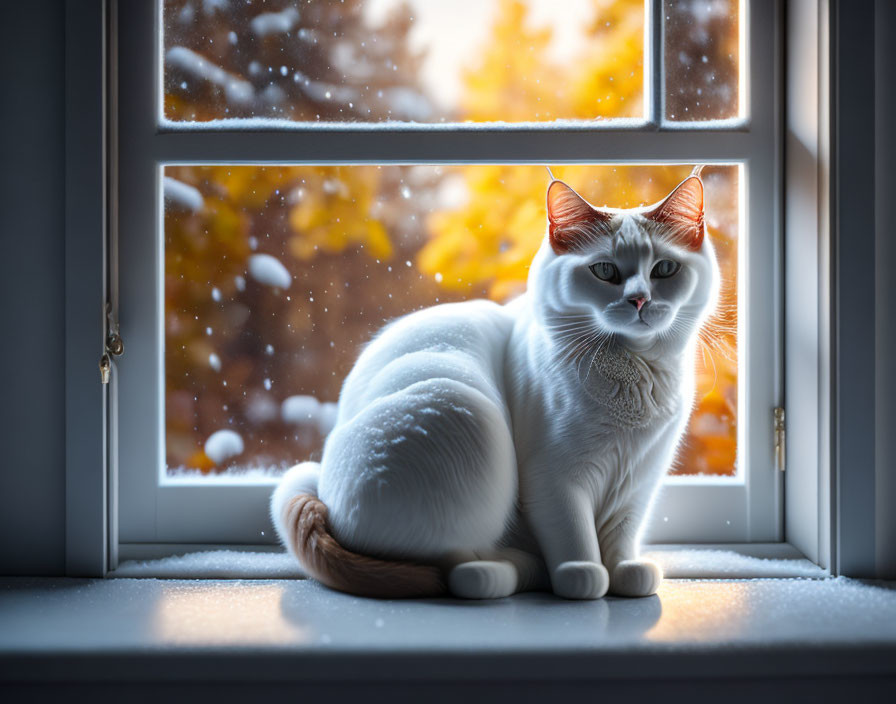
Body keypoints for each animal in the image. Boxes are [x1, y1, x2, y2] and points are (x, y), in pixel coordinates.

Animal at [270, 168, 716, 596]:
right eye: (605, 271)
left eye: (664, 269)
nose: (640, 300)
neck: (633, 376)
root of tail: (322, 491)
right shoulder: (555, 480)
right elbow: (576, 538)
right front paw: (583, 576)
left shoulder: (639, 480)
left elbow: (621, 537)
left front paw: (625, 573)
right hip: (469, 413)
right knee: (451, 564)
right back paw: (513, 572)